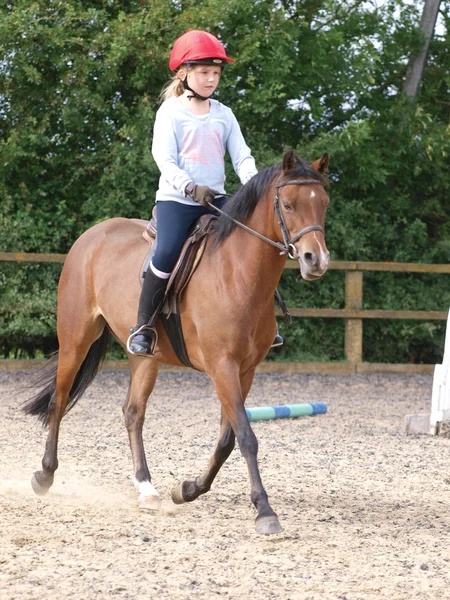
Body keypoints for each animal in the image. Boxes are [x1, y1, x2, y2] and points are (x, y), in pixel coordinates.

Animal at [22, 150, 330, 536]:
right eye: (287, 204)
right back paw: (44, 475)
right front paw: (264, 511)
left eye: (324, 204)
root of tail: (91, 236)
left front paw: (188, 490)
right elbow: (246, 437)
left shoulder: (245, 370)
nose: (316, 260)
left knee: (133, 412)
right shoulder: (221, 366)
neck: (238, 273)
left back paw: (146, 488)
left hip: (144, 356)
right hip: (76, 337)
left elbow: (227, 439)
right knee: (60, 400)